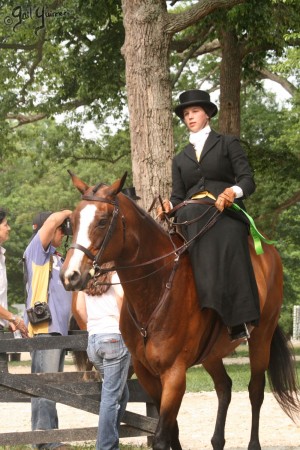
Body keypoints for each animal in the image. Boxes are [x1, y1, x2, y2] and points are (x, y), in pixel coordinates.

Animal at [59, 171, 298, 450]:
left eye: (102, 221)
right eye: (73, 221)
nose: (70, 275)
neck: (156, 288)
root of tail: (267, 251)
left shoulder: (174, 374)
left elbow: (163, 436)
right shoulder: (147, 374)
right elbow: (172, 431)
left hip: (261, 338)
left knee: (255, 390)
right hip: (212, 353)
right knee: (224, 387)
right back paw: (217, 440)